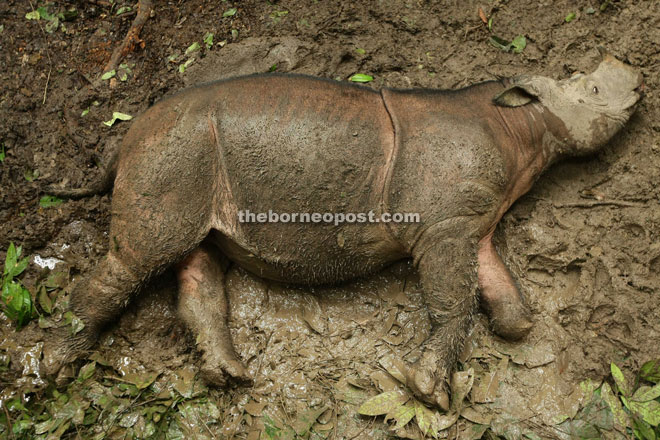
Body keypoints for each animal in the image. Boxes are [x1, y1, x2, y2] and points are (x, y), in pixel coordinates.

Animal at [43, 47, 640, 410]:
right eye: (588, 88)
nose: (632, 70)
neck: (521, 124)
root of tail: (123, 140)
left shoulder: (473, 223)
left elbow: (497, 294)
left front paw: (513, 325)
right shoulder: (445, 226)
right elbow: (455, 300)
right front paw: (430, 395)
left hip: (187, 157)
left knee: (198, 259)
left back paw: (231, 377)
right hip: (171, 153)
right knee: (139, 258)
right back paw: (53, 372)